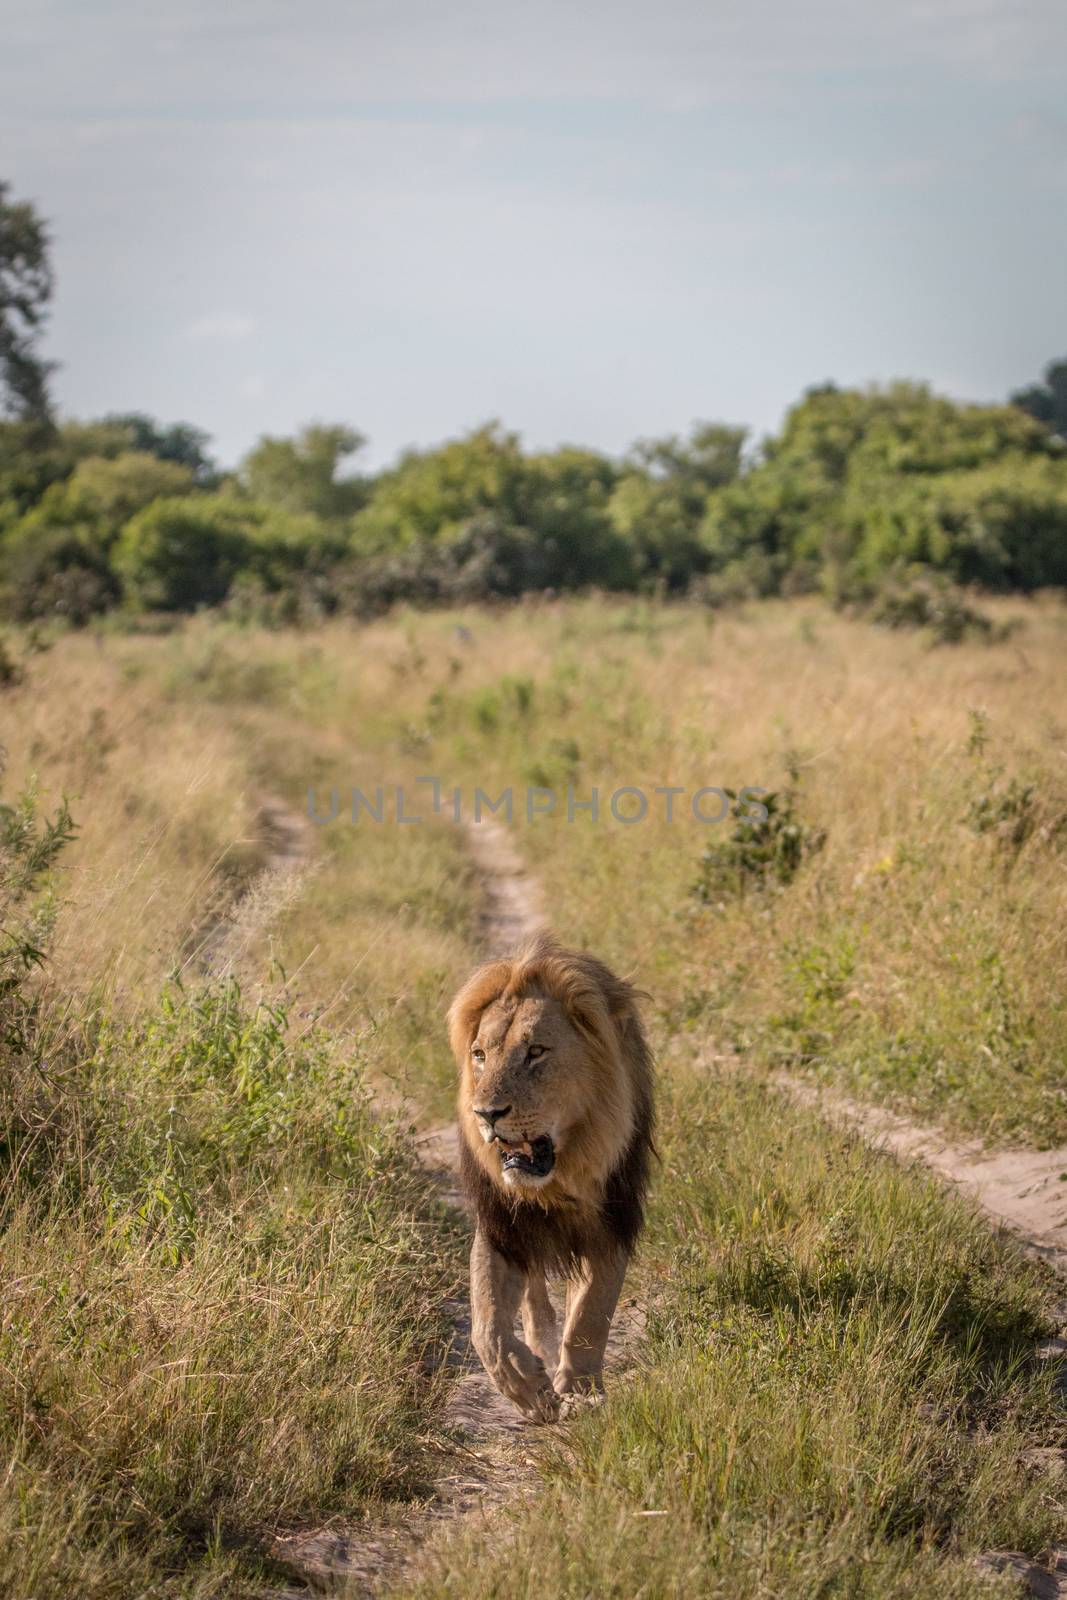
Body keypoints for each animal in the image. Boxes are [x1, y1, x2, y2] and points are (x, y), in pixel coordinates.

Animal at [447, 934, 655, 1420]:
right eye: (480, 1055)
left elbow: (592, 1310)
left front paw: (579, 1388)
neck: (561, 1176)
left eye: (536, 1052)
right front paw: (525, 1386)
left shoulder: (613, 1219)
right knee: (533, 1298)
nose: (485, 1114)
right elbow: (487, 1324)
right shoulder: (502, 1224)